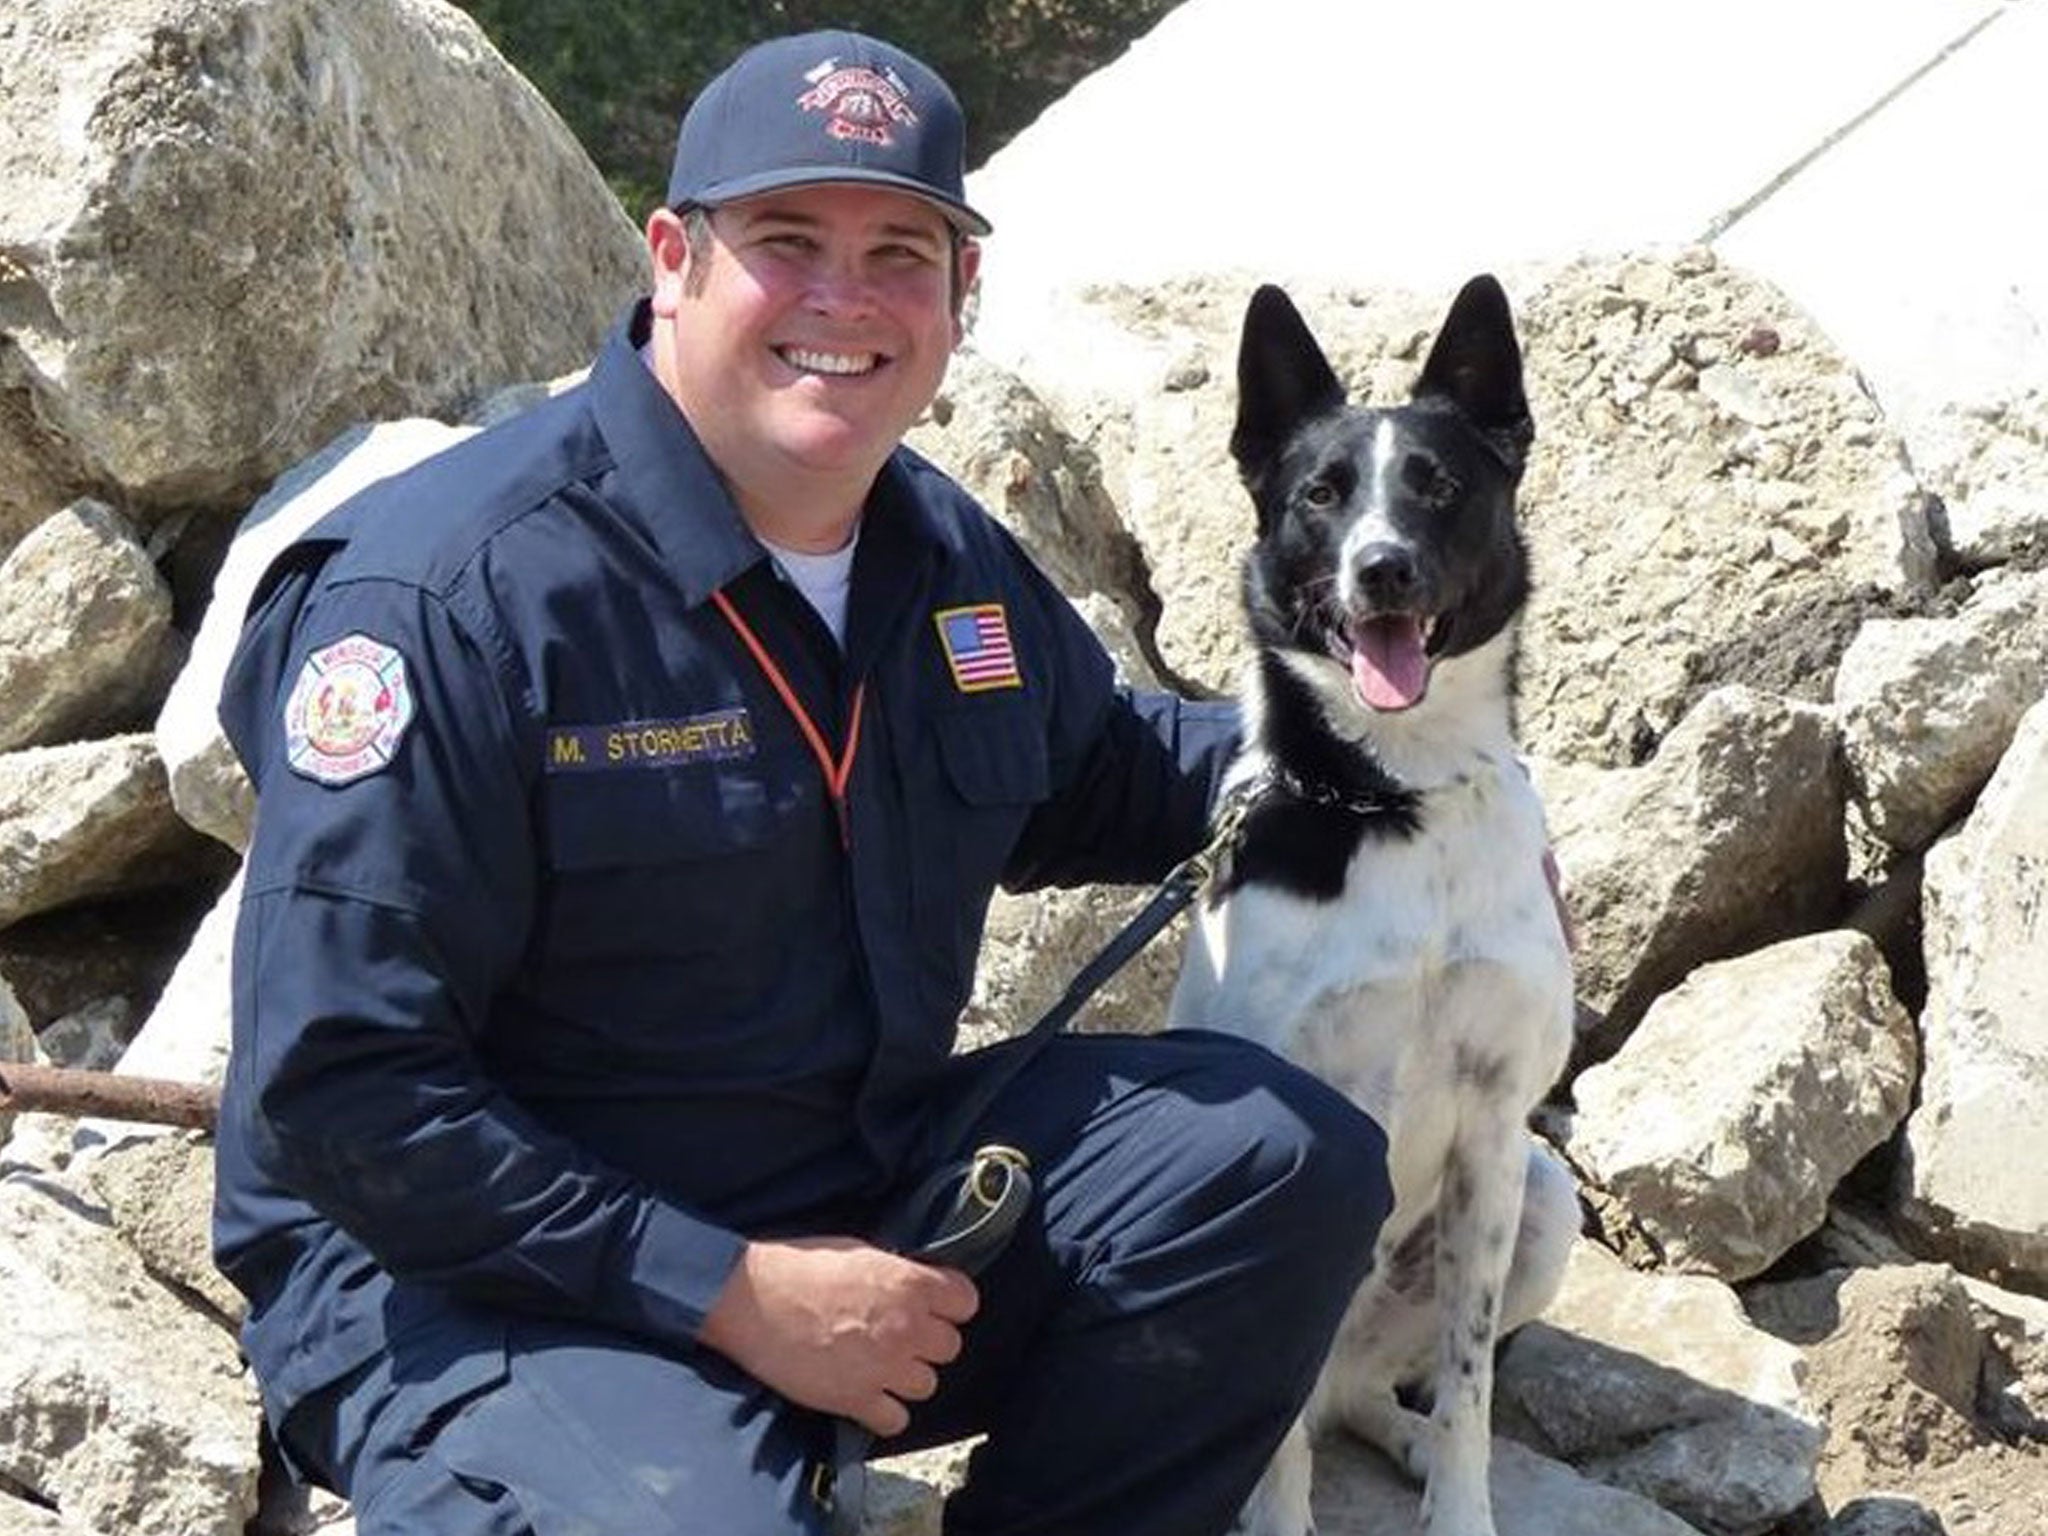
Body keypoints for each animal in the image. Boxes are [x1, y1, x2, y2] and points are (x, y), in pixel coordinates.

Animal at [1171, 280, 1581, 1536]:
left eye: (1436, 486)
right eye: (1320, 494)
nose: (1383, 568)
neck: (1395, 794)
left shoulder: (1496, 1126)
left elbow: (1469, 1381)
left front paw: (1457, 1507)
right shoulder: (1295, 1125)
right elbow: (1274, 1457)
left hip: (1546, 1201)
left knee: (1360, 1389)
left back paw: (1398, 1435)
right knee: (1287, 1415)